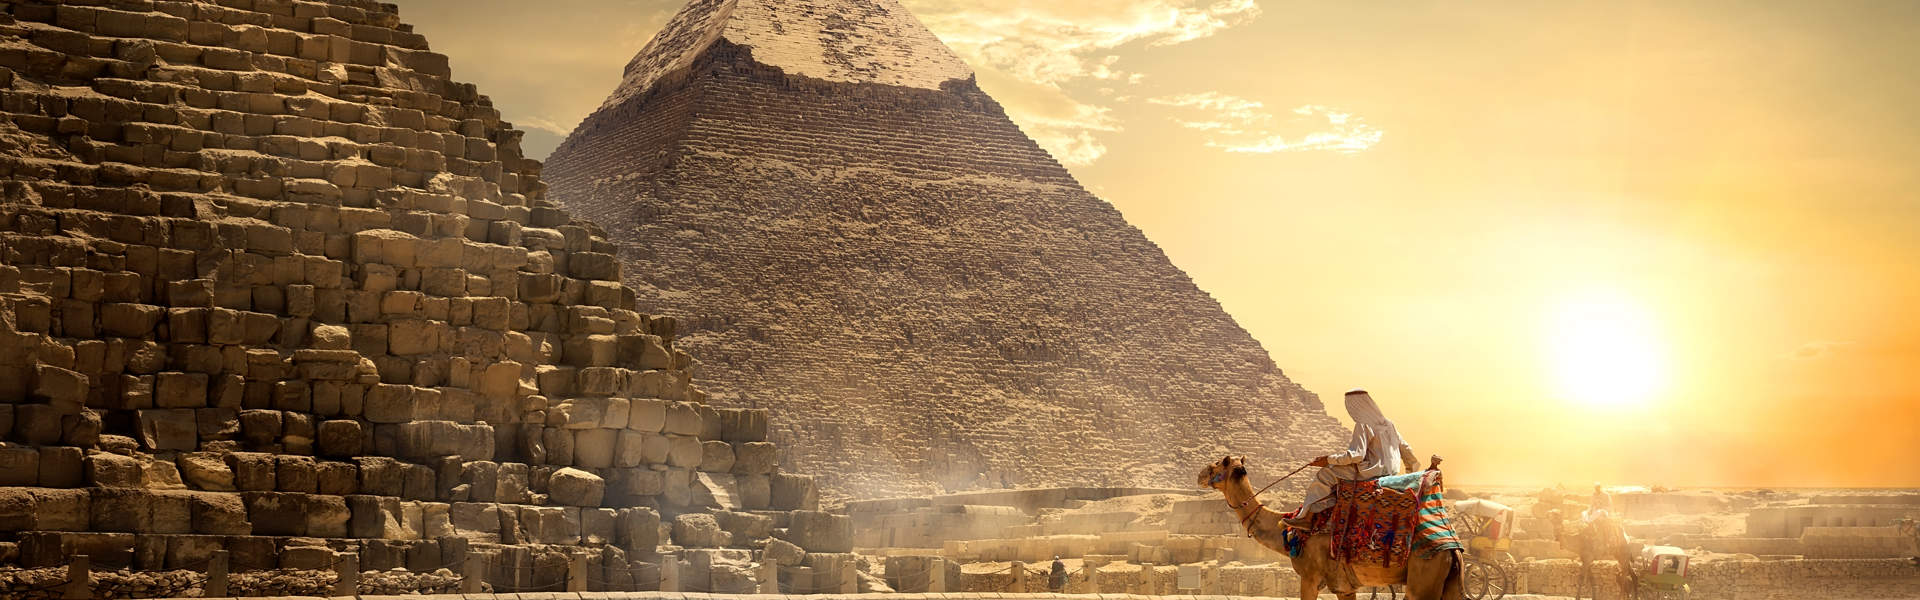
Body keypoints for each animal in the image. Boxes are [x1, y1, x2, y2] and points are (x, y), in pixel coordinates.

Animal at [1198, 456, 1464, 600]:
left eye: (1217, 464)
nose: (1200, 474)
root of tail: (1453, 548)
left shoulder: (1310, 577)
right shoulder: (1344, 586)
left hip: (1424, 579)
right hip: (1446, 581)